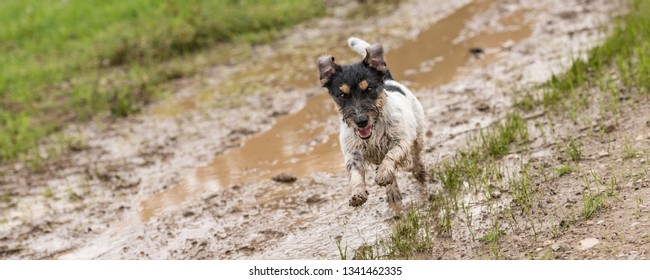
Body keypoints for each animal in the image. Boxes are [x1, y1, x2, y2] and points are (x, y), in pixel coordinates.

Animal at [316, 37, 426, 207]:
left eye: (369, 89)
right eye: (342, 95)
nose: (361, 121)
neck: (373, 131)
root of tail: (388, 80)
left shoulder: (401, 141)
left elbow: (391, 156)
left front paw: (383, 174)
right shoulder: (352, 153)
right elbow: (355, 173)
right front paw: (357, 193)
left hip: (418, 133)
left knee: (416, 153)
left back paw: (418, 172)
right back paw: (392, 193)